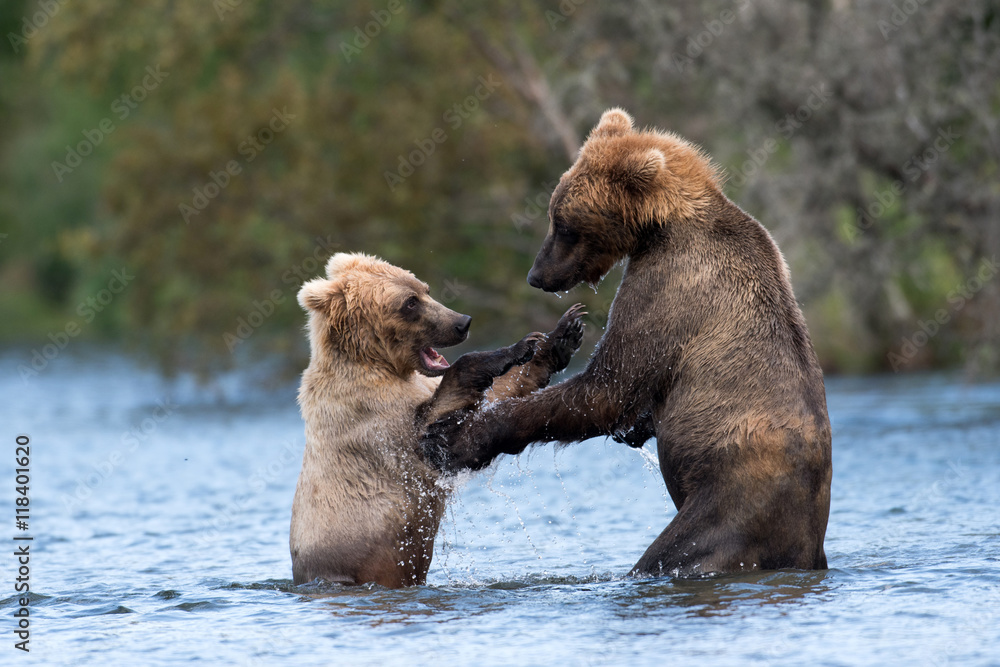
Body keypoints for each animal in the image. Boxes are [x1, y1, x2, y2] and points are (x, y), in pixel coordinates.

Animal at [289, 252, 584, 588]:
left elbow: (494, 394)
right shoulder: (372, 418)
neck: (379, 364)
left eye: (425, 289)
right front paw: (515, 347)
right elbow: (432, 434)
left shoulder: (419, 386)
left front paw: (561, 334)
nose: (462, 322)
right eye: (410, 302)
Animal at [424, 109, 833, 578]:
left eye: (564, 224)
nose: (536, 276)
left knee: (674, 552)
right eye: (554, 216)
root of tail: (809, 540)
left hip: (728, 506)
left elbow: (608, 386)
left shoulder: (667, 290)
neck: (660, 228)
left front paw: (457, 438)